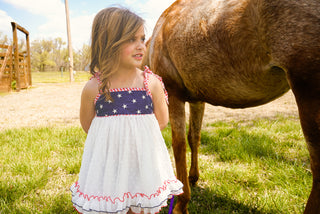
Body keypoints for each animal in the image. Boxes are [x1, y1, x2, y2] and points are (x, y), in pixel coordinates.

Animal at [144, 0, 320, 212]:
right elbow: (194, 137)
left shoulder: (173, 93)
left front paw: (181, 203)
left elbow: (179, 145)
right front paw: (193, 177)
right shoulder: (197, 100)